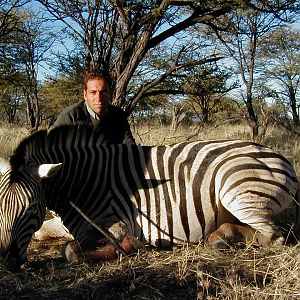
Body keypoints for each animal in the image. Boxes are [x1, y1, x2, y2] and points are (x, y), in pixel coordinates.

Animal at [0, 125, 298, 272]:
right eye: (0, 208)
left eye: (32, 207)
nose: (8, 261)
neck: (82, 181)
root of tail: (278, 155)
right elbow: (47, 234)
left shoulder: (116, 224)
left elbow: (71, 251)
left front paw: (130, 246)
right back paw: (220, 236)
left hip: (235, 190)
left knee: (274, 236)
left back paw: (219, 239)